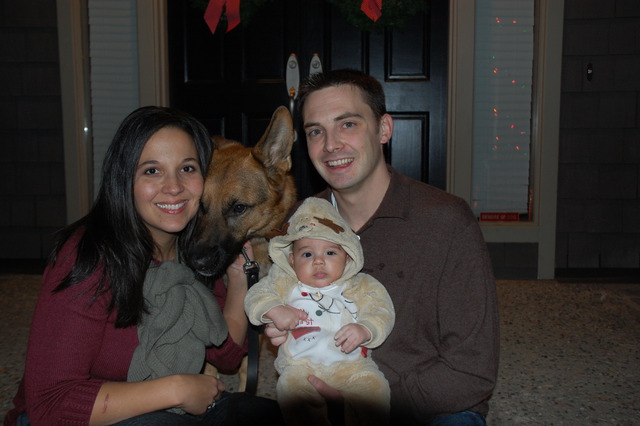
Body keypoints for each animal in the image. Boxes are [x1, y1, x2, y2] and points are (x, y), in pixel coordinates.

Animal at [186, 105, 297, 390]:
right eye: (201, 206)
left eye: (238, 208)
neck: (251, 250)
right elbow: (210, 358)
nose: (196, 262)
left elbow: (248, 366)